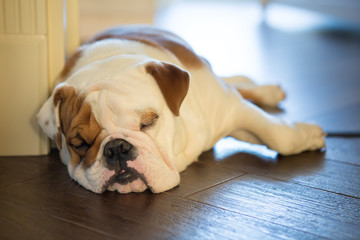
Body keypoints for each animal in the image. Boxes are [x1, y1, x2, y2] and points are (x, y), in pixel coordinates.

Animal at [37, 25, 326, 194]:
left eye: (149, 121)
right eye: (79, 144)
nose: (117, 148)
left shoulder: (230, 108)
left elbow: (279, 136)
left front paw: (309, 136)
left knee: (236, 85)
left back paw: (266, 89)